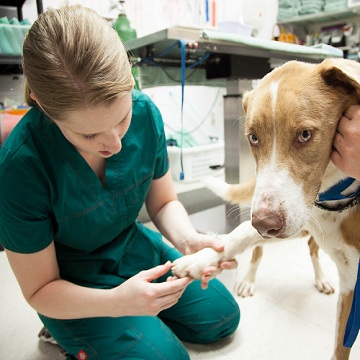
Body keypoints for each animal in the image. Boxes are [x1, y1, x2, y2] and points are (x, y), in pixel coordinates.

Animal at [171, 57, 360, 358]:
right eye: (253, 138)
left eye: (305, 135)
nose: (264, 224)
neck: (336, 201)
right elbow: (238, 234)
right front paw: (199, 259)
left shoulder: (352, 283)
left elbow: (340, 349)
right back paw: (248, 279)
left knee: (311, 248)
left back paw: (320, 278)